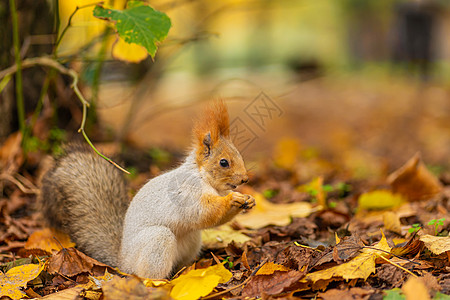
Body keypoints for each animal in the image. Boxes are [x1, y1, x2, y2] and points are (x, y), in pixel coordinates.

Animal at [39, 101, 255, 278]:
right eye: (224, 162)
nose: (245, 178)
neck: (201, 176)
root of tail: (122, 262)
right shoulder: (186, 192)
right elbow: (204, 211)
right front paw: (231, 200)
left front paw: (248, 200)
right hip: (157, 241)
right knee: (146, 275)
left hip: (192, 240)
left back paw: (187, 270)